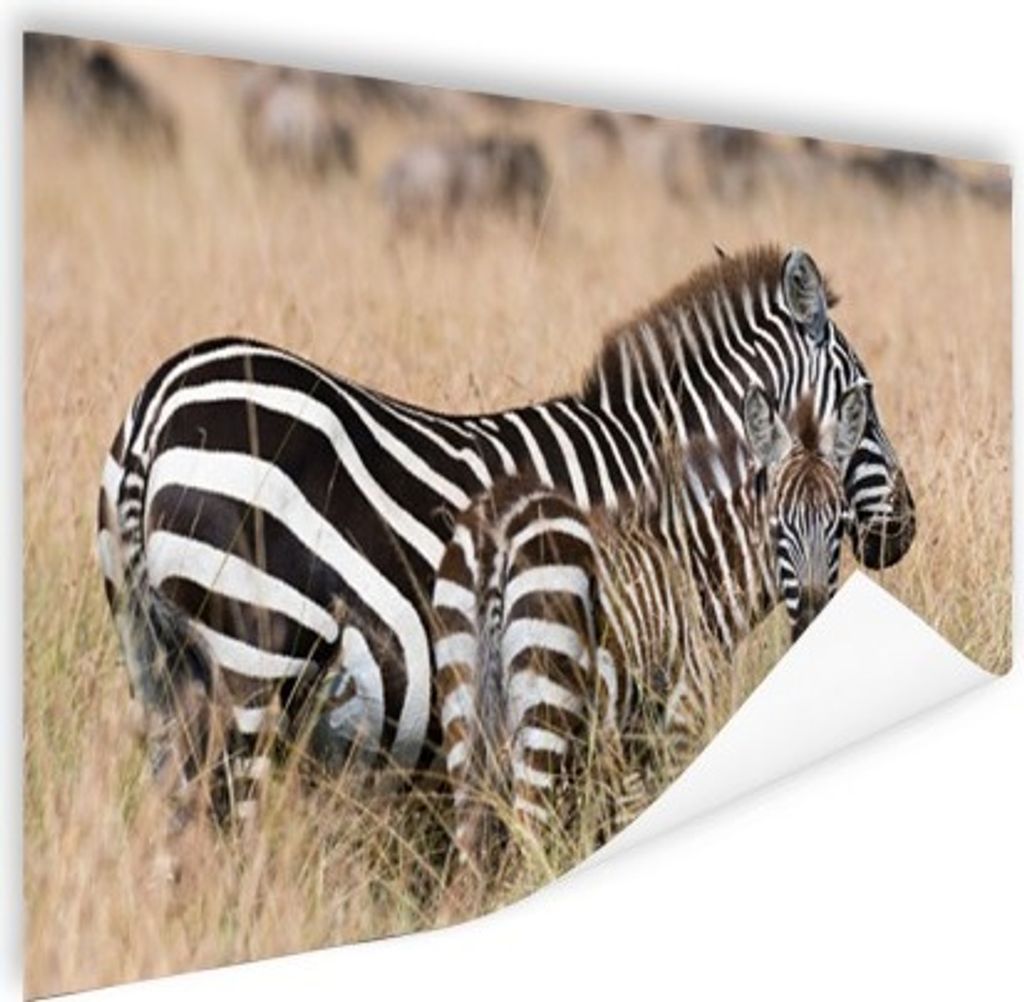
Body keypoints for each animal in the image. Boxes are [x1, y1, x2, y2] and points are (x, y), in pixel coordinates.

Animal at [431, 383, 868, 869]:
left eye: (841, 525)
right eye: (776, 526)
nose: (812, 617)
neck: (697, 569)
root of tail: (500, 527)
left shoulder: (629, 732)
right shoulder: (679, 712)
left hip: (462, 694)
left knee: (471, 841)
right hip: (546, 697)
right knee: (528, 827)